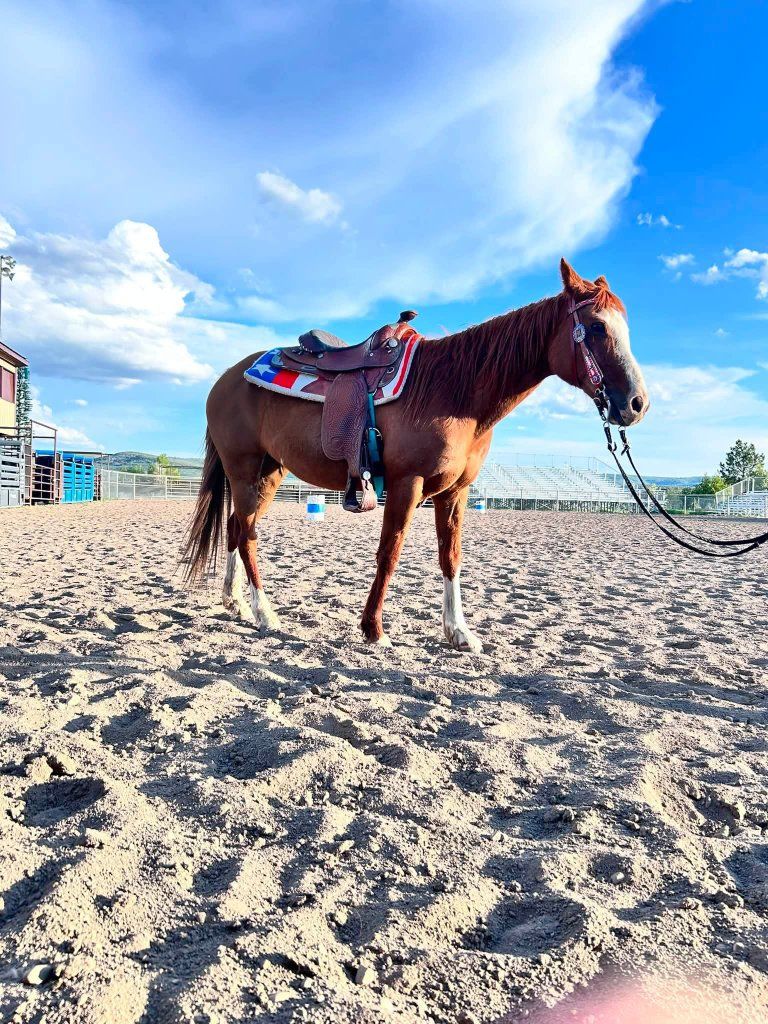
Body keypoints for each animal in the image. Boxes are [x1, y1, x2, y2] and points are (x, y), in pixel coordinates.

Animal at [182, 258, 648, 652]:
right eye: (596, 326)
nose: (636, 403)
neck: (454, 390)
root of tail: (225, 379)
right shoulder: (407, 484)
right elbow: (389, 553)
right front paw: (373, 629)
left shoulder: (456, 492)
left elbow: (451, 557)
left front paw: (458, 632)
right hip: (245, 470)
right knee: (247, 533)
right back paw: (264, 612)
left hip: (269, 472)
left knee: (235, 527)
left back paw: (235, 602)